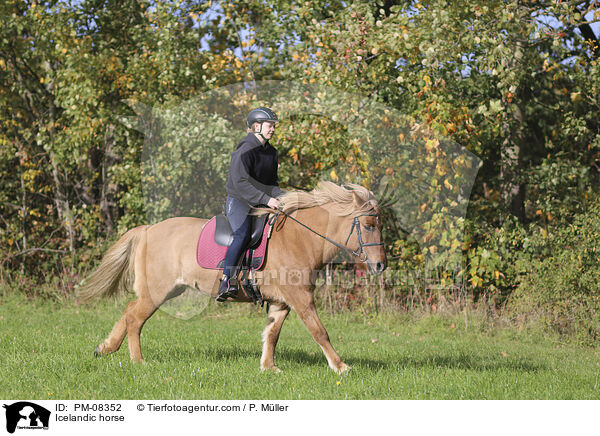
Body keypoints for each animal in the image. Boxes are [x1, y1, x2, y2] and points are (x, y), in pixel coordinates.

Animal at [79, 181, 386, 372]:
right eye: (369, 225)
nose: (380, 265)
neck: (300, 238)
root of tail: (148, 229)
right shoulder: (301, 299)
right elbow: (319, 331)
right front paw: (341, 366)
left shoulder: (282, 302)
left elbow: (272, 334)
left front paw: (268, 367)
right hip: (157, 291)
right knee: (134, 318)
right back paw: (138, 361)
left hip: (165, 290)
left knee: (129, 311)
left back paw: (105, 348)